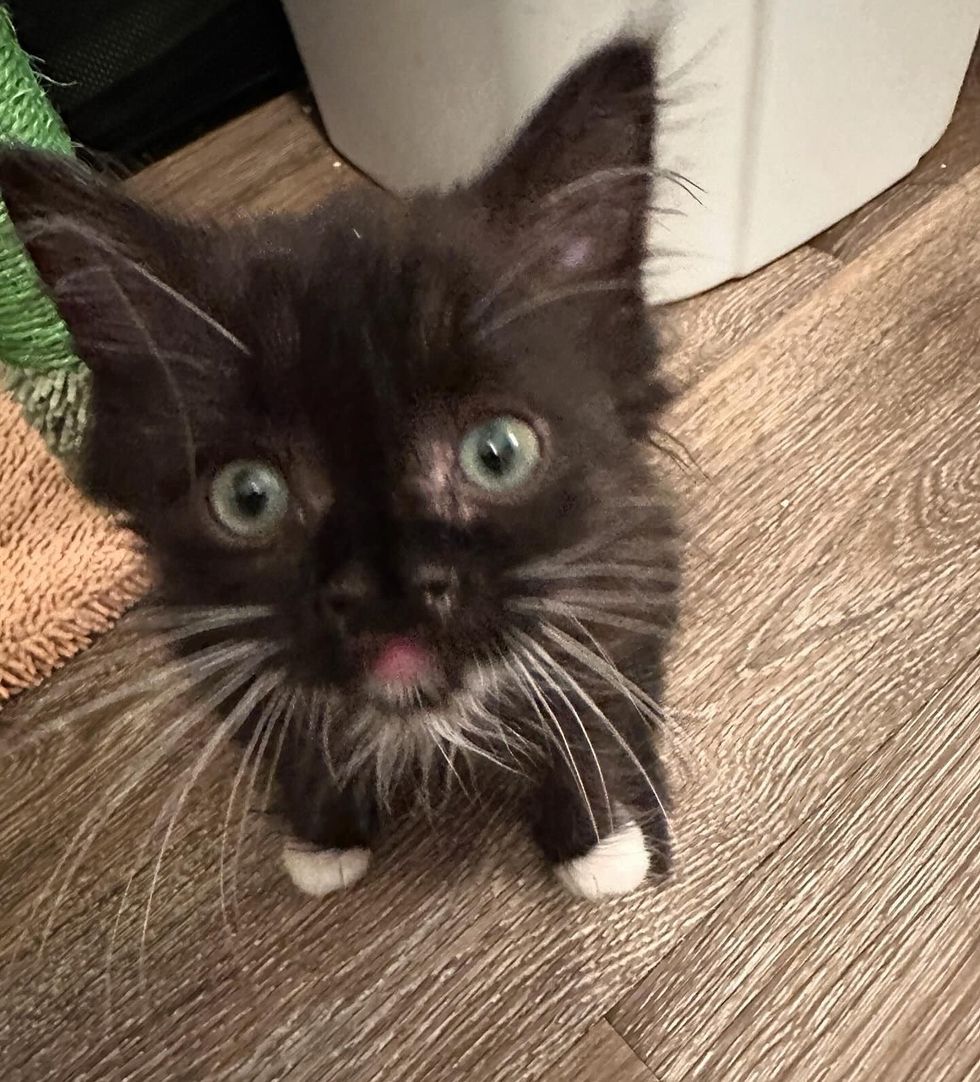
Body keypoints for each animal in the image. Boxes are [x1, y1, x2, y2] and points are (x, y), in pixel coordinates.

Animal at [1, 40, 679, 904]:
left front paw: (598, 840)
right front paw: (323, 837)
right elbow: (292, 729)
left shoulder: (611, 566)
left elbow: (590, 691)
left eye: (497, 453)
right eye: (248, 496)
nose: (384, 588)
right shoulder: (213, 639)